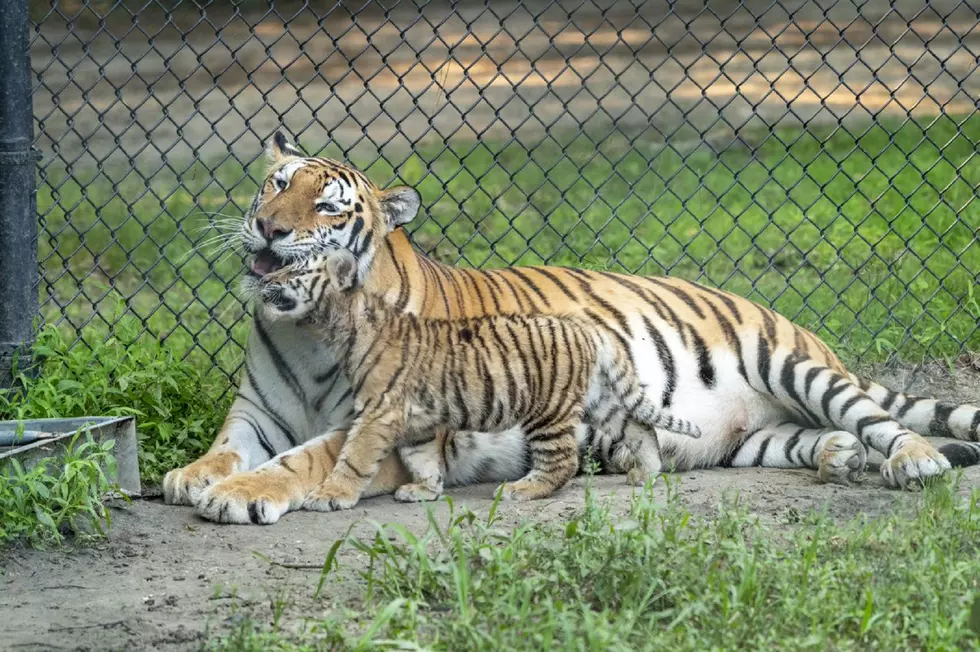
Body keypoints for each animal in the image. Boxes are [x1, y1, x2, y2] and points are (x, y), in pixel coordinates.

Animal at [165, 132, 976, 524]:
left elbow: (305, 461)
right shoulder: (259, 410)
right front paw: (190, 477)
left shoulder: (389, 421)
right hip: (749, 438)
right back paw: (838, 457)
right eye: (276, 184)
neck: (304, 329)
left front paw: (239, 495)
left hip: (790, 365)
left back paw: (910, 463)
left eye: (327, 207)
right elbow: (230, 446)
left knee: (877, 418)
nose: (270, 229)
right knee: (809, 437)